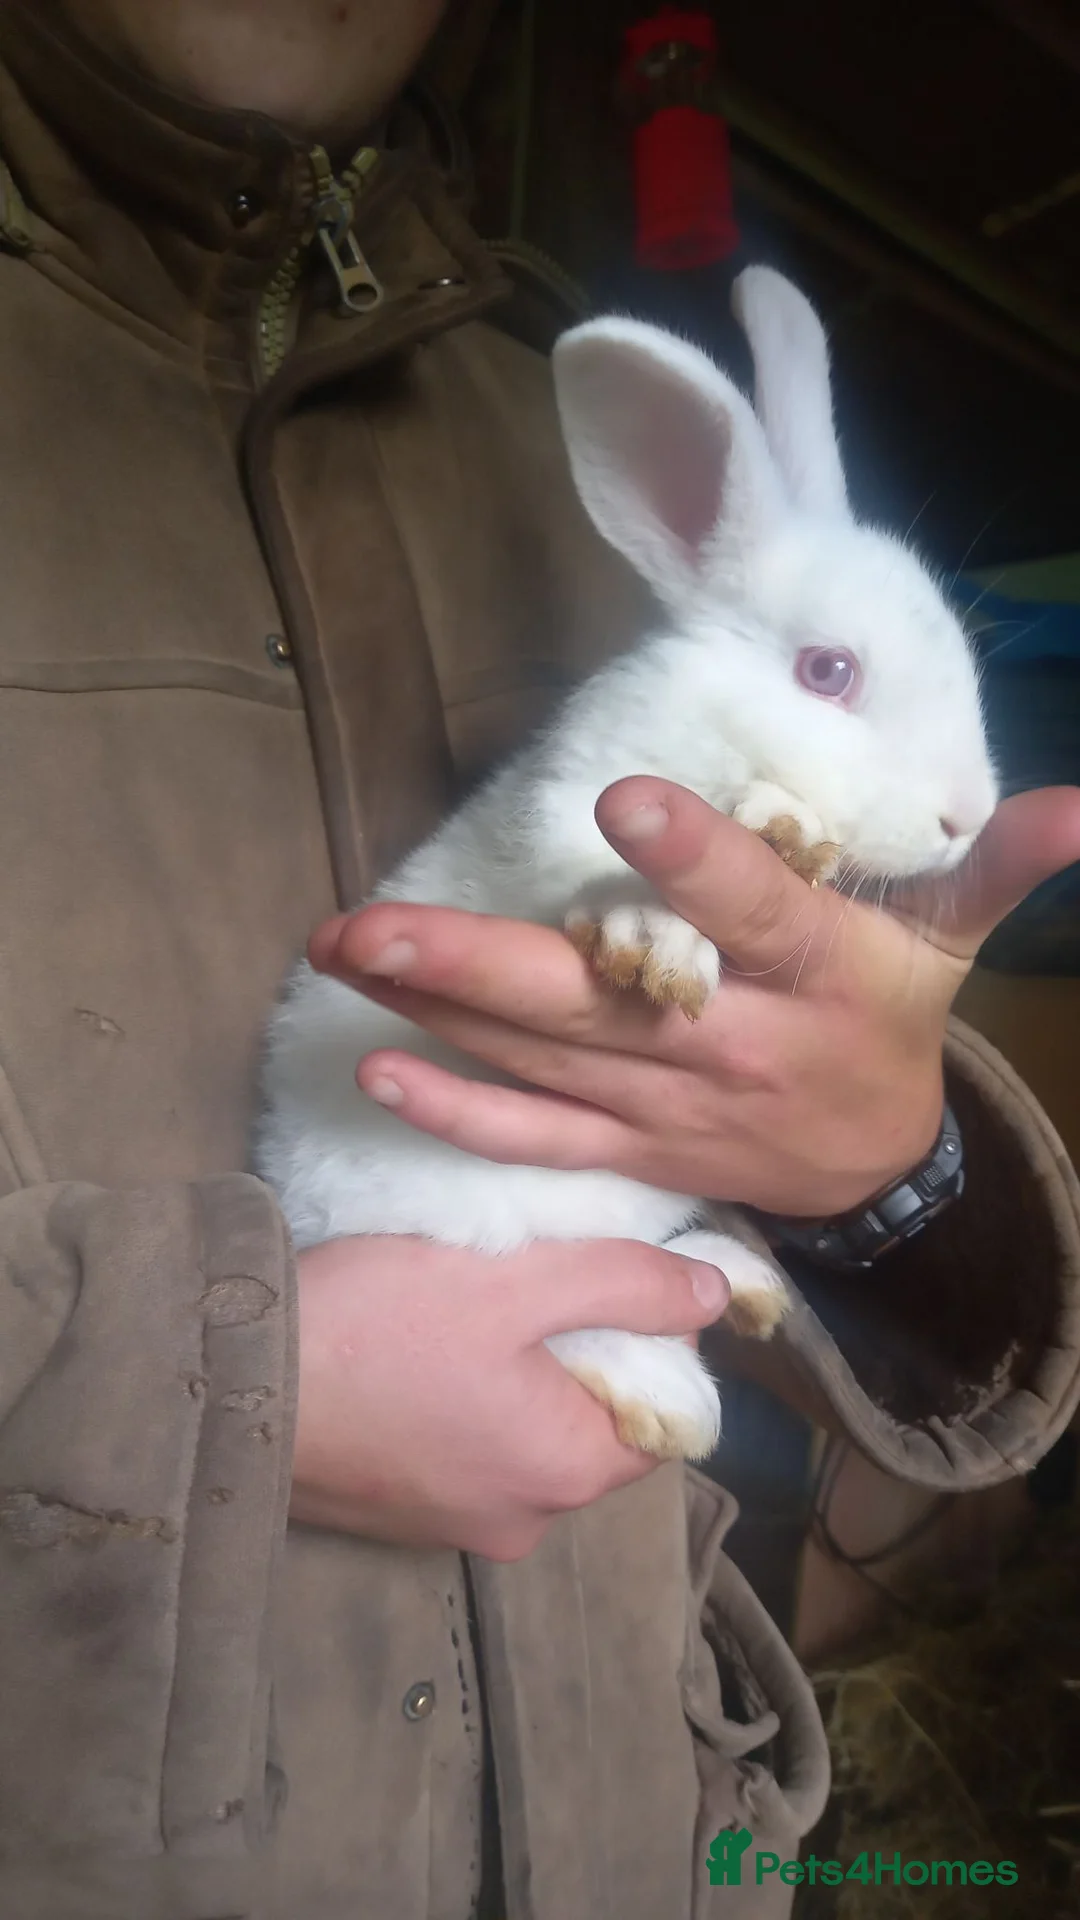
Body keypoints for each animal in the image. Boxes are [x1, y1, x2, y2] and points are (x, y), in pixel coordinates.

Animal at [255, 266, 998, 1465]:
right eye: (828, 671)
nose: (967, 817)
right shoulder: (563, 819)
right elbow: (580, 880)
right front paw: (667, 928)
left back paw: (736, 1277)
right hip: (479, 1239)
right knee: (564, 1314)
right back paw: (672, 1392)